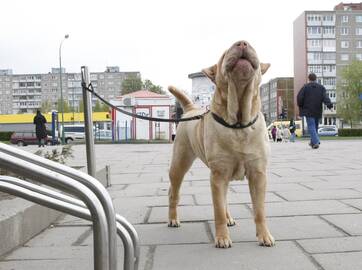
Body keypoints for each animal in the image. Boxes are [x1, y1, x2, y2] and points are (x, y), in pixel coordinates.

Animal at [167, 40, 274, 249]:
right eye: (225, 54)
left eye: (252, 46)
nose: (242, 42)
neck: (238, 123)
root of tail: (191, 109)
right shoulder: (218, 174)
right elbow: (217, 211)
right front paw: (222, 238)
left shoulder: (258, 174)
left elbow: (259, 210)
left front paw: (264, 236)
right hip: (180, 163)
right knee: (173, 192)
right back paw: (173, 219)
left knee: (224, 199)